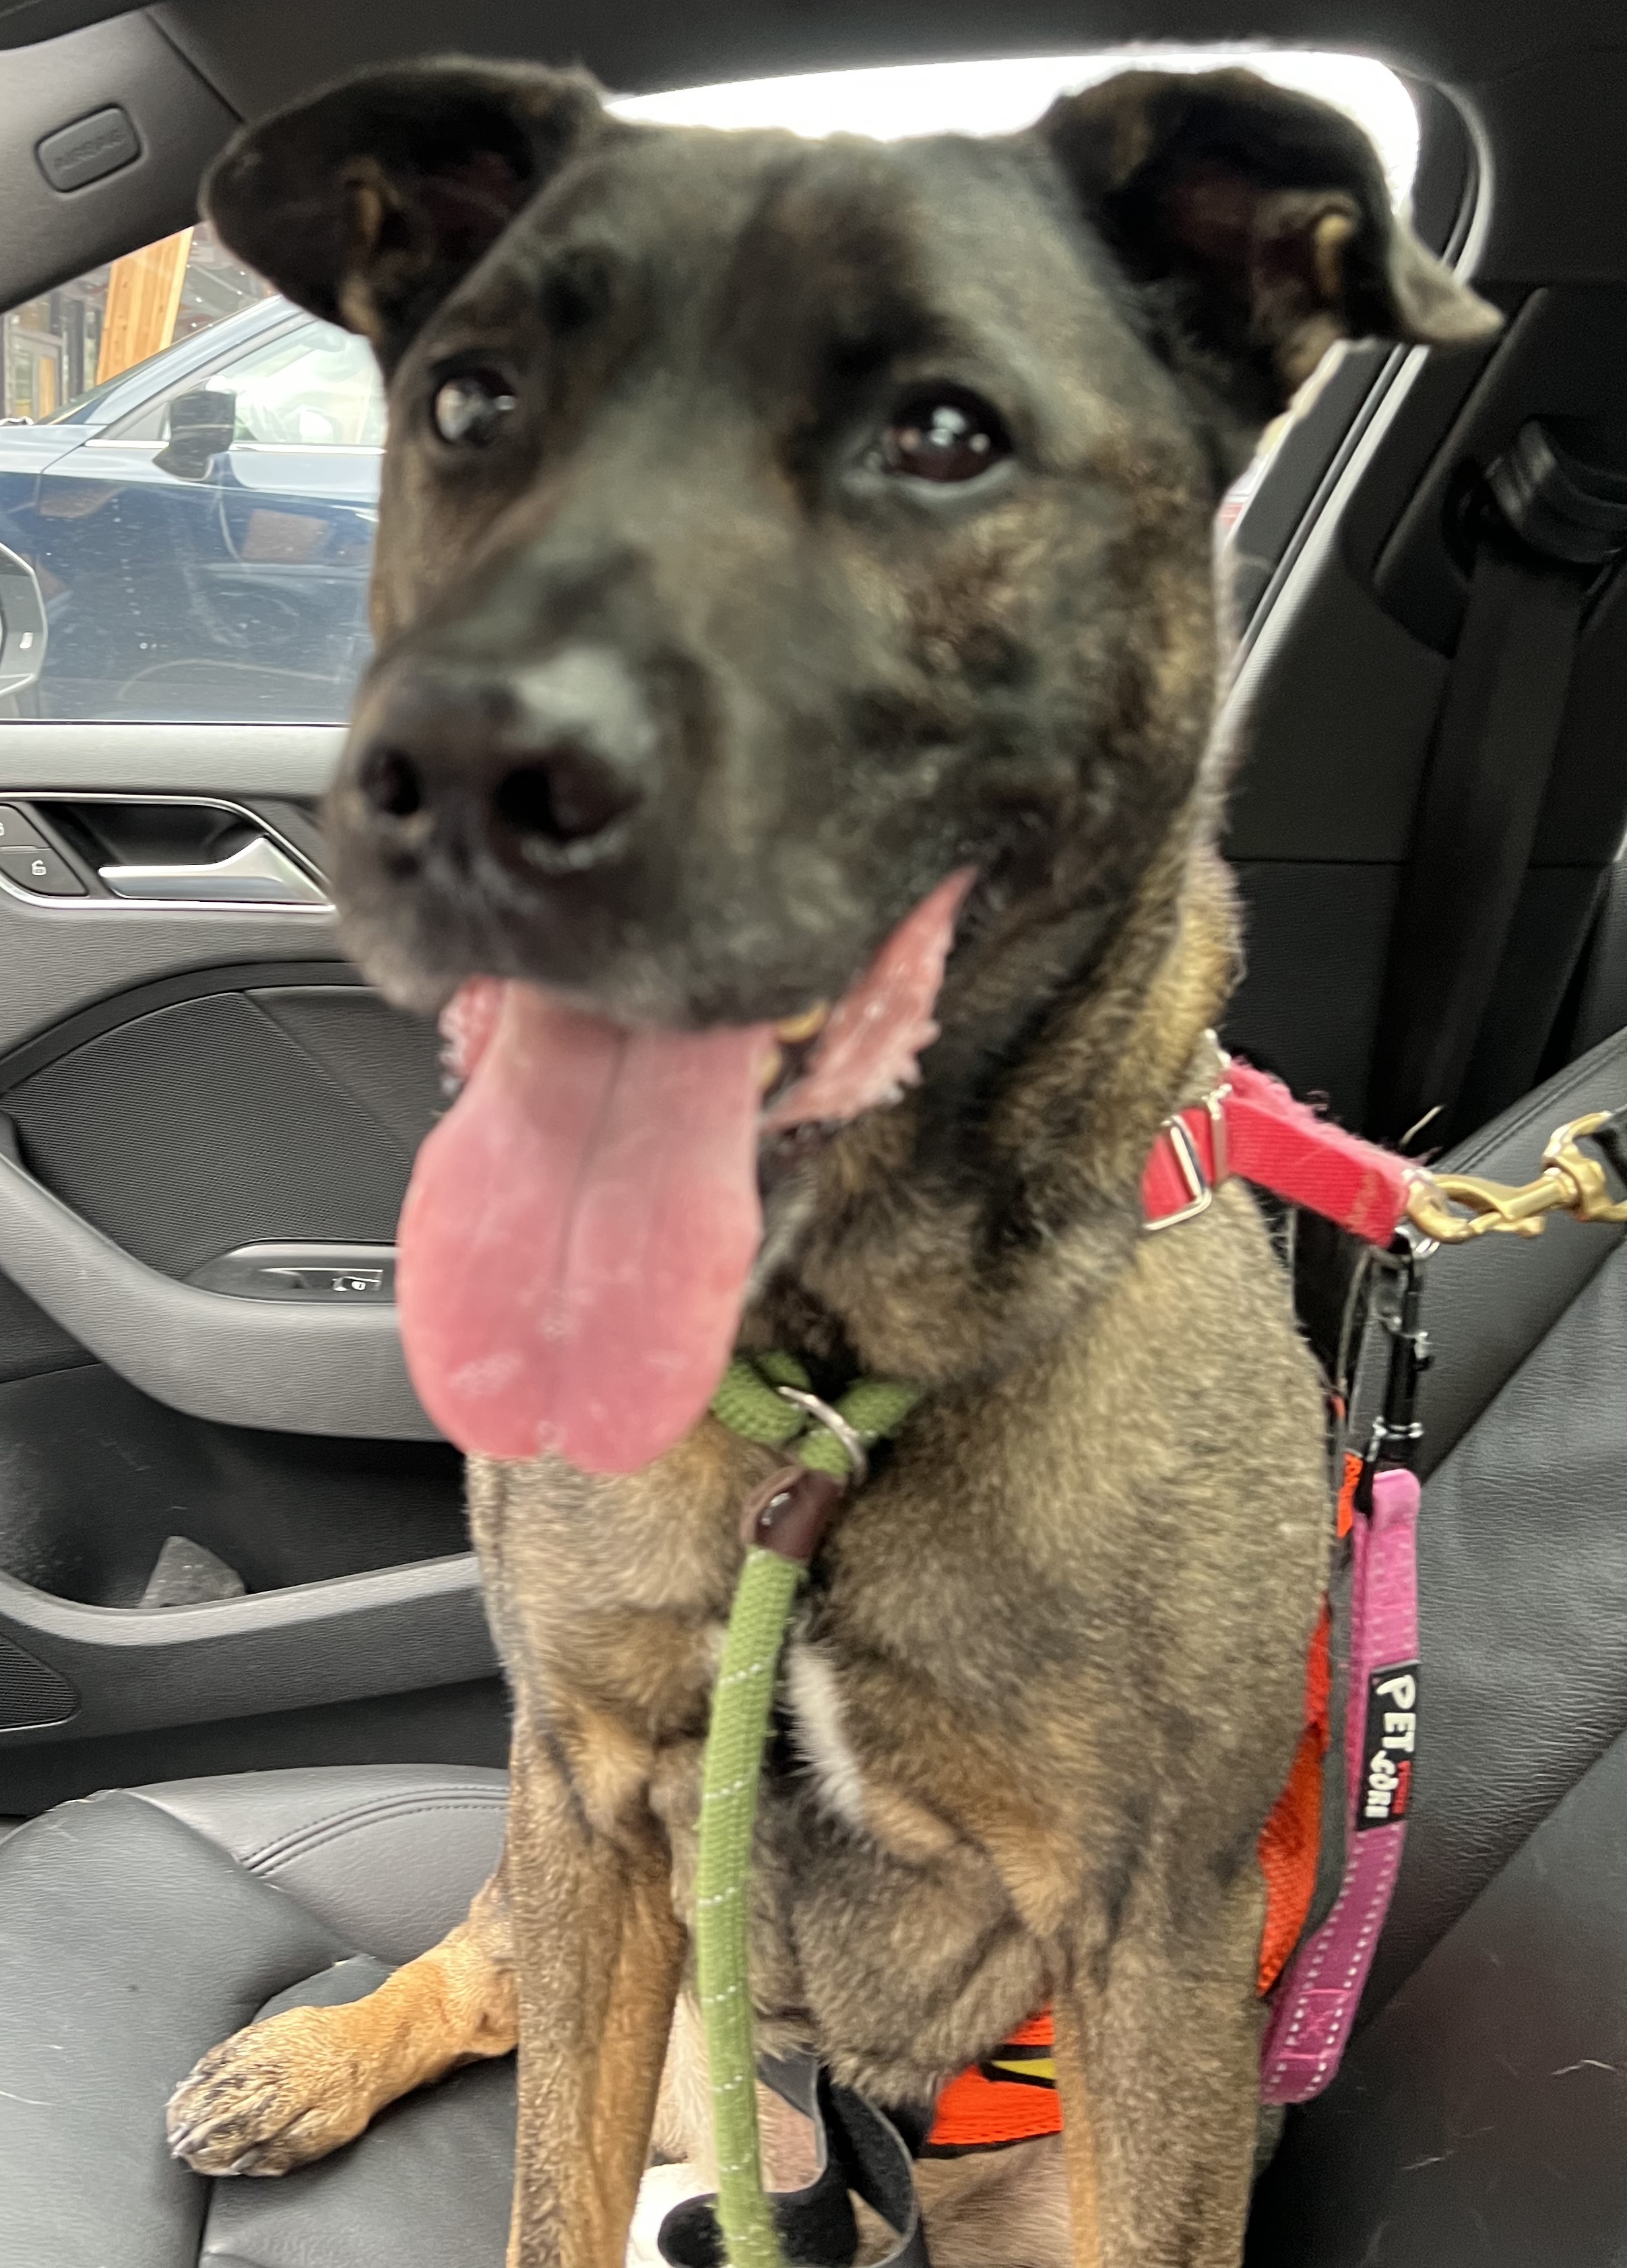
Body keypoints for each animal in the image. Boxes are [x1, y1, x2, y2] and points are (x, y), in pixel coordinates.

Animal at [162, 57, 1488, 2268]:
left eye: (944, 438)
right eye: (471, 403)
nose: (463, 780)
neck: (825, 1379)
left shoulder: (1154, 1945)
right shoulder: (590, 1785)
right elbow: (541, 2190)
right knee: (485, 1967)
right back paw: (306, 2053)